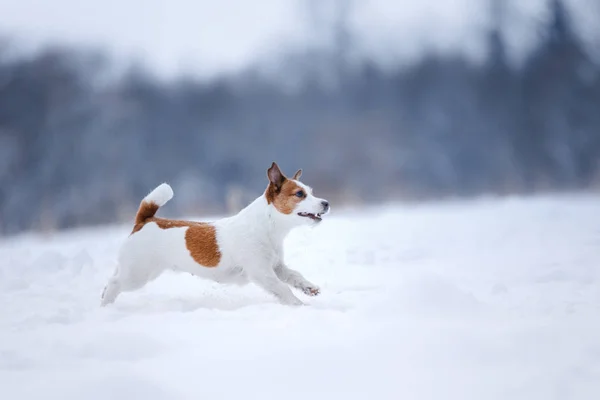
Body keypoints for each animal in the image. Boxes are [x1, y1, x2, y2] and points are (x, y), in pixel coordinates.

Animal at [101, 162, 330, 306]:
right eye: (299, 194)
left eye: (310, 191)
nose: (326, 203)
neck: (268, 226)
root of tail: (145, 219)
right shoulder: (261, 272)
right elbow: (283, 288)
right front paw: (298, 305)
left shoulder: (276, 266)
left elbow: (294, 276)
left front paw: (309, 288)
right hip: (137, 274)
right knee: (115, 283)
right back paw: (106, 305)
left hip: (133, 268)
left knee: (112, 278)